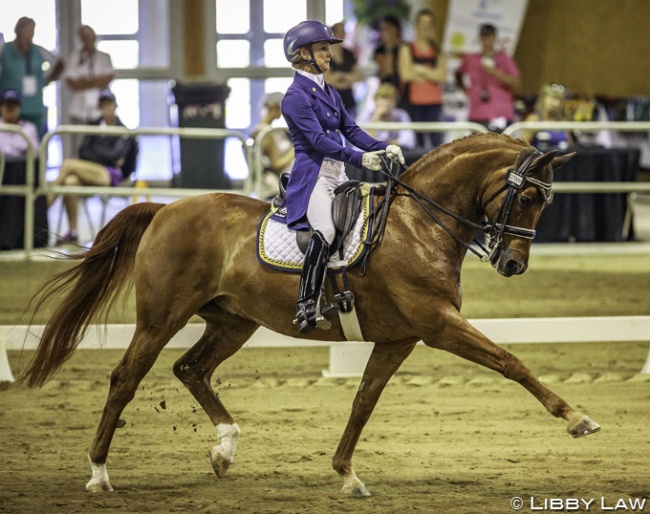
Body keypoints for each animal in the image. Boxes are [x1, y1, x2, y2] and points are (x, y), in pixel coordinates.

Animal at [20, 134, 596, 494]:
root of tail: (165, 208)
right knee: (125, 379)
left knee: (191, 368)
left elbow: (363, 402)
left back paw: (224, 449)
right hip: (162, 318)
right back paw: (99, 474)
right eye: (526, 197)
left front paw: (346, 474)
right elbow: (509, 361)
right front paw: (576, 418)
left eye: (546, 202)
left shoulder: (400, 338)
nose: (513, 265)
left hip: (233, 321)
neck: (418, 224)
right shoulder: (435, 325)